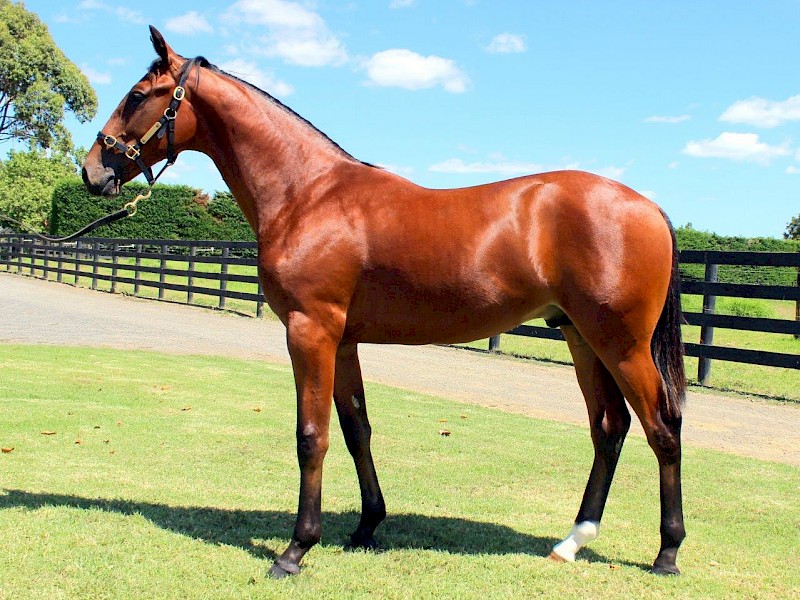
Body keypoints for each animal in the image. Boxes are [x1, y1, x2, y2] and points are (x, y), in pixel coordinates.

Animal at [83, 27, 688, 576]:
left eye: (137, 95)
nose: (92, 171)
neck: (308, 194)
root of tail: (651, 207)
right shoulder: (342, 340)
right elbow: (356, 430)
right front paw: (366, 526)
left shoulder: (309, 330)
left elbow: (311, 436)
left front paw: (295, 549)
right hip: (581, 338)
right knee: (609, 428)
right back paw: (572, 541)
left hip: (621, 344)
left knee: (663, 427)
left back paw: (667, 554)